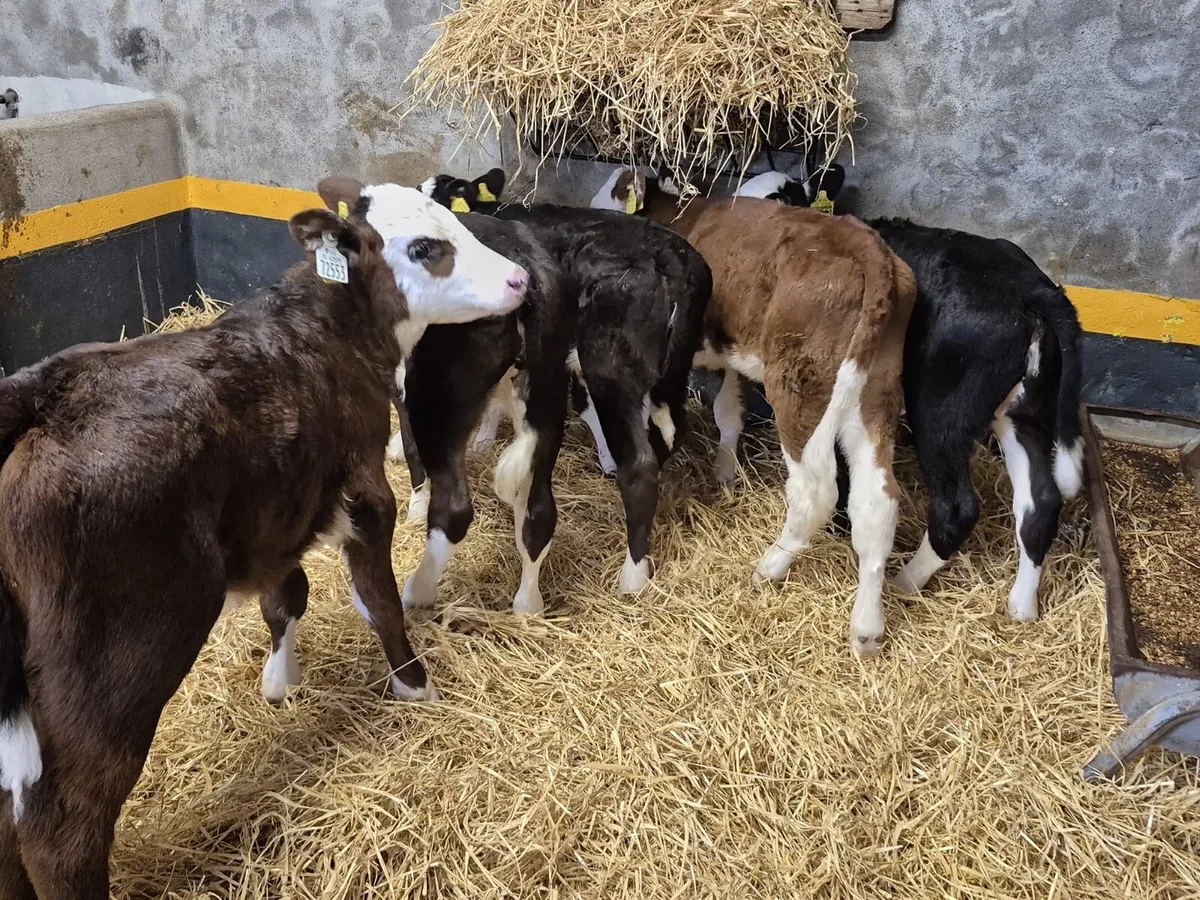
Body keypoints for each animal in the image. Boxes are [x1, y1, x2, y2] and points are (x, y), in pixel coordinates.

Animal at [0, 180, 528, 898]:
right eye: (425, 247)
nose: (519, 278)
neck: (330, 330)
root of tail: (40, 397)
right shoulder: (366, 492)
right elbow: (379, 600)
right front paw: (414, 683)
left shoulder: (279, 508)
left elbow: (287, 595)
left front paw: (280, 681)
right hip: (120, 652)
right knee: (62, 825)